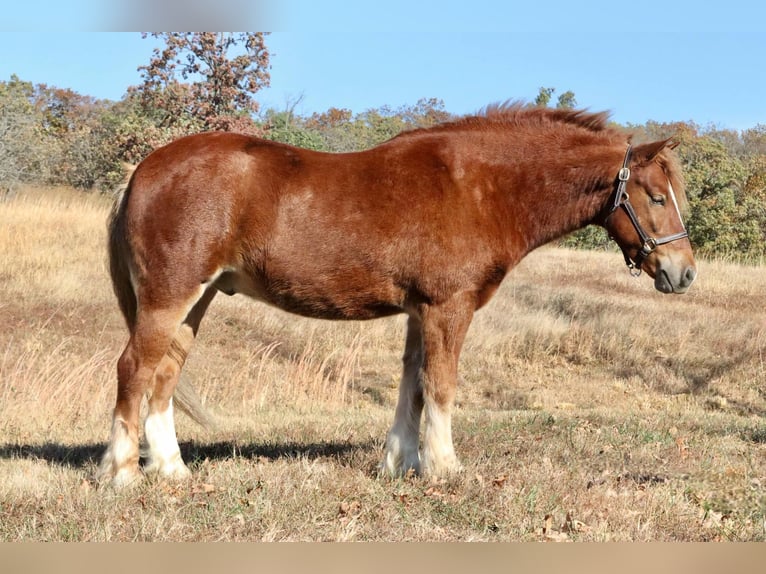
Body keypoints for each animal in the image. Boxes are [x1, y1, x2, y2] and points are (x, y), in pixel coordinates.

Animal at [96, 104, 696, 490]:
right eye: (656, 196)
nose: (683, 272)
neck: (479, 186)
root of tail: (142, 170)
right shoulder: (448, 307)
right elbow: (441, 384)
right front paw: (444, 468)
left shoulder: (419, 311)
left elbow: (411, 385)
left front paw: (399, 463)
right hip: (170, 298)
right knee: (133, 368)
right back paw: (123, 474)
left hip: (195, 301)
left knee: (164, 374)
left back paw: (171, 469)